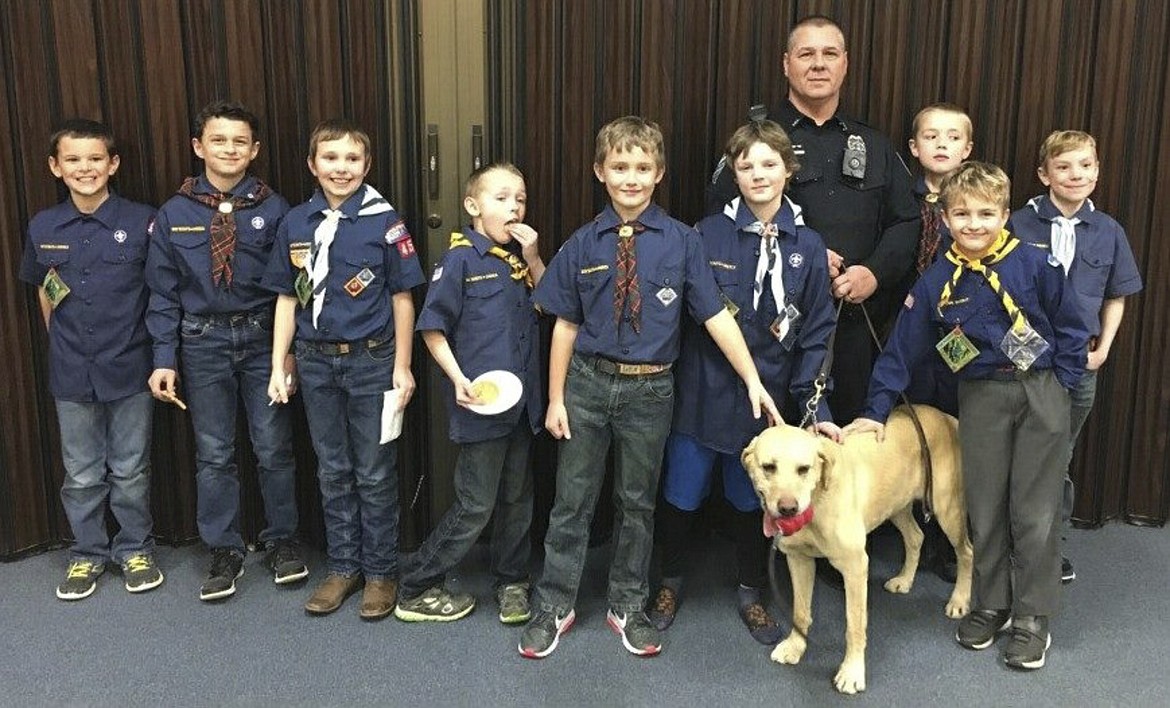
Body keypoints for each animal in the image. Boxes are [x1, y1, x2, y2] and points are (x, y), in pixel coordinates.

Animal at [744, 402, 973, 688]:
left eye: (804, 469)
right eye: (768, 467)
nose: (788, 509)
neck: (818, 498)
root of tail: (945, 416)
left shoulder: (855, 567)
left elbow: (854, 625)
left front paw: (852, 671)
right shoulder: (798, 559)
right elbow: (799, 611)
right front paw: (795, 646)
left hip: (947, 508)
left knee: (967, 552)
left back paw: (960, 600)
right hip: (895, 504)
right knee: (916, 536)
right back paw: (905, 579)